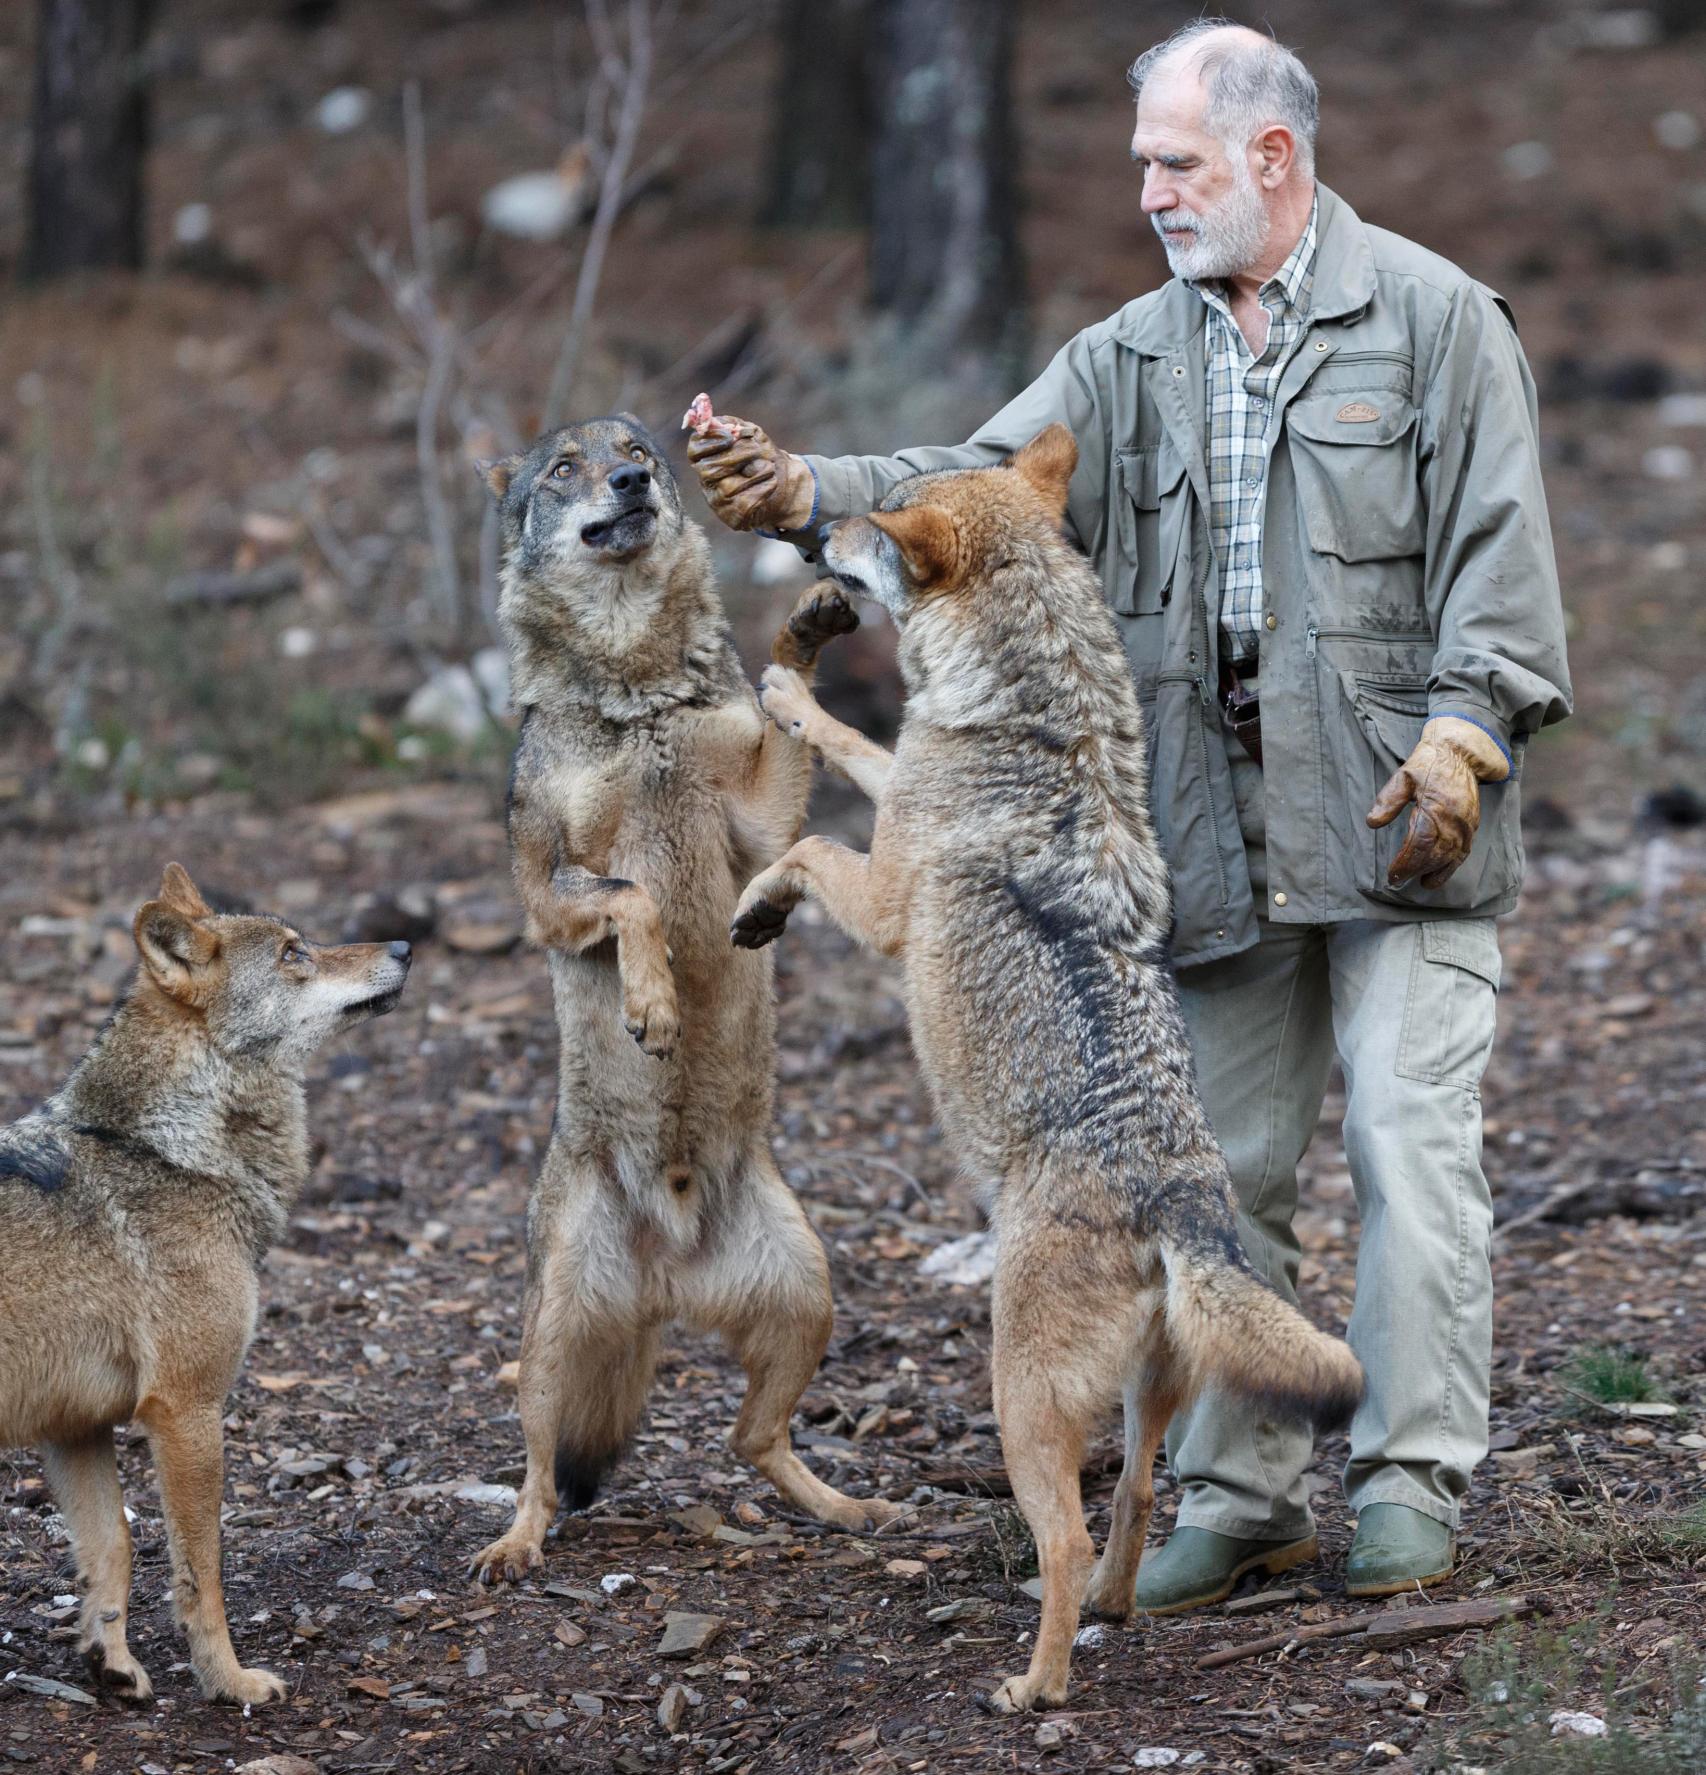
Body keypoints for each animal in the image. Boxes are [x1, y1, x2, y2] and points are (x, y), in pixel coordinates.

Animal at [465, 418, 891, 1597]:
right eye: (564, 466)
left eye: (637, 448)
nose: (631, 480)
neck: (634, 692)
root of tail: (668, 1281)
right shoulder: (542, 894)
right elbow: (634, 894)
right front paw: (652, 1004)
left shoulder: (755, 821)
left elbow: (778, 754)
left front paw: (803, 628)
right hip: (553, 1335)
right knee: (537, 1468)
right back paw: (513, 1546)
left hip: (808, 1291)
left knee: (754, 1439)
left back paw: (848, 1510)